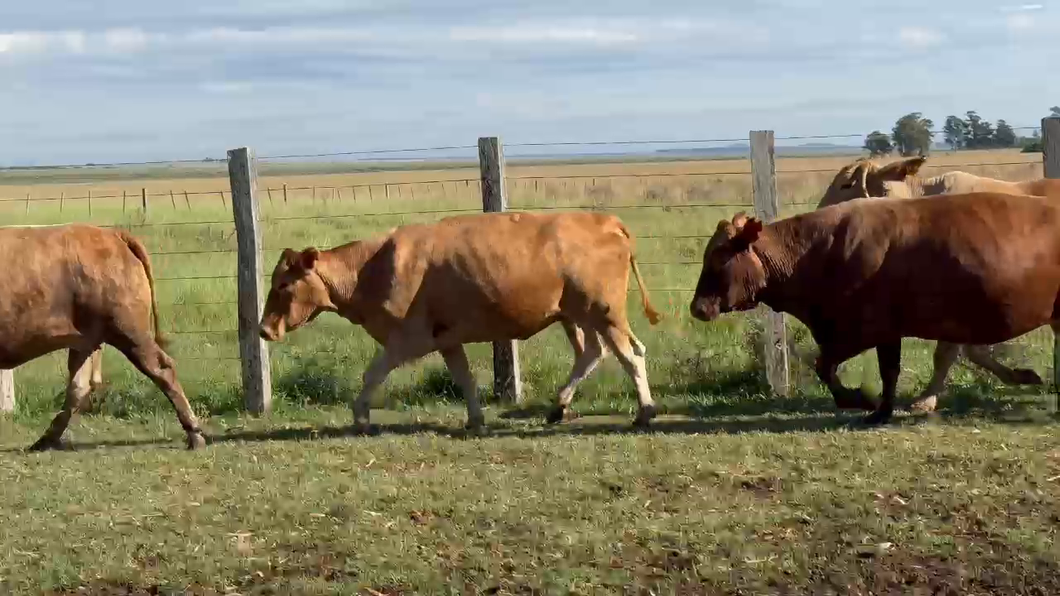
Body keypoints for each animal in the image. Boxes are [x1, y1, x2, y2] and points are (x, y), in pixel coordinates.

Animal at [0, 224, 206, 451]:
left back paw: (195, 434)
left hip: (129, 332)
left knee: (162, 368)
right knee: (78, 387)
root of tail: (112, 233)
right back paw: (45, 440)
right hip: (86, 341)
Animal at [257, 211, 663, 432]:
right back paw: (558, 407)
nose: (263, 329)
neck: (371, 268)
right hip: (575, 315)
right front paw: (475, 419)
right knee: (592, 353)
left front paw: (360, 417)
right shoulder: (447, 339)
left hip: (604, 312)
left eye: (282, 284)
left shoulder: (407, 339)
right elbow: (465, 378)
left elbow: (373, 374)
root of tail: (605, 220)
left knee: (631, 356)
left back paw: (644, 412)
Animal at [688, 192, 1060, 425]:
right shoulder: (884, 332)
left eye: (719, 257)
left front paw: (864, 402)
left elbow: (828, 366)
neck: (818, 252)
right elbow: (885, 371)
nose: (697, 308)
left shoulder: (863, 330)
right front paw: (880, 409)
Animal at [816, 155, 1060, 411]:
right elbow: (973, 351)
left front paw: (925, 400)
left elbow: (946, 354)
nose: (819, 214)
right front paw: (1021, 376)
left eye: (846, 184)